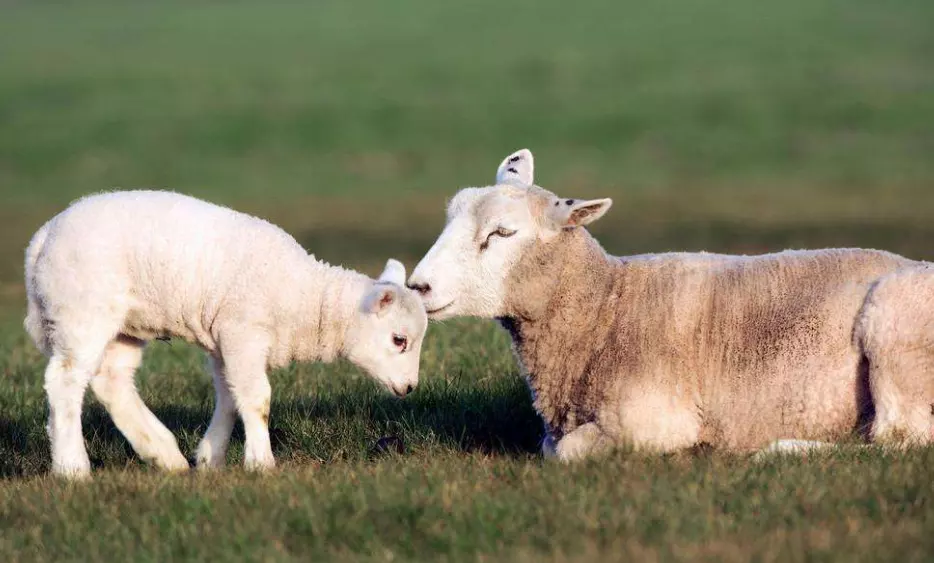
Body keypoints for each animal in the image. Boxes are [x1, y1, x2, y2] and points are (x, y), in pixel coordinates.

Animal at [23, 192, 428, 478]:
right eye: (399, 340)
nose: (409, 388)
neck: (303, 298)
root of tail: (42, 239)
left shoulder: (224, 342)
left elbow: (231, 397)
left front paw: (210, 459)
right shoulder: (243, 331)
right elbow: (257, 399)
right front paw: (261, 462)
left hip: (124, 325)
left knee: (112, 381)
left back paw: (165, 455)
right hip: (83, 312)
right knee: (65, 381)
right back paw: (72, 468)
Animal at [408, 151, 934, 462]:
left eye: (501, 233)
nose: (418, 286)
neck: (605, 309)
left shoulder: (653, 419)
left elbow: (566, 452)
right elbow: (550, 445)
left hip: (896, 328)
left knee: (900, 437)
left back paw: (780, 449)